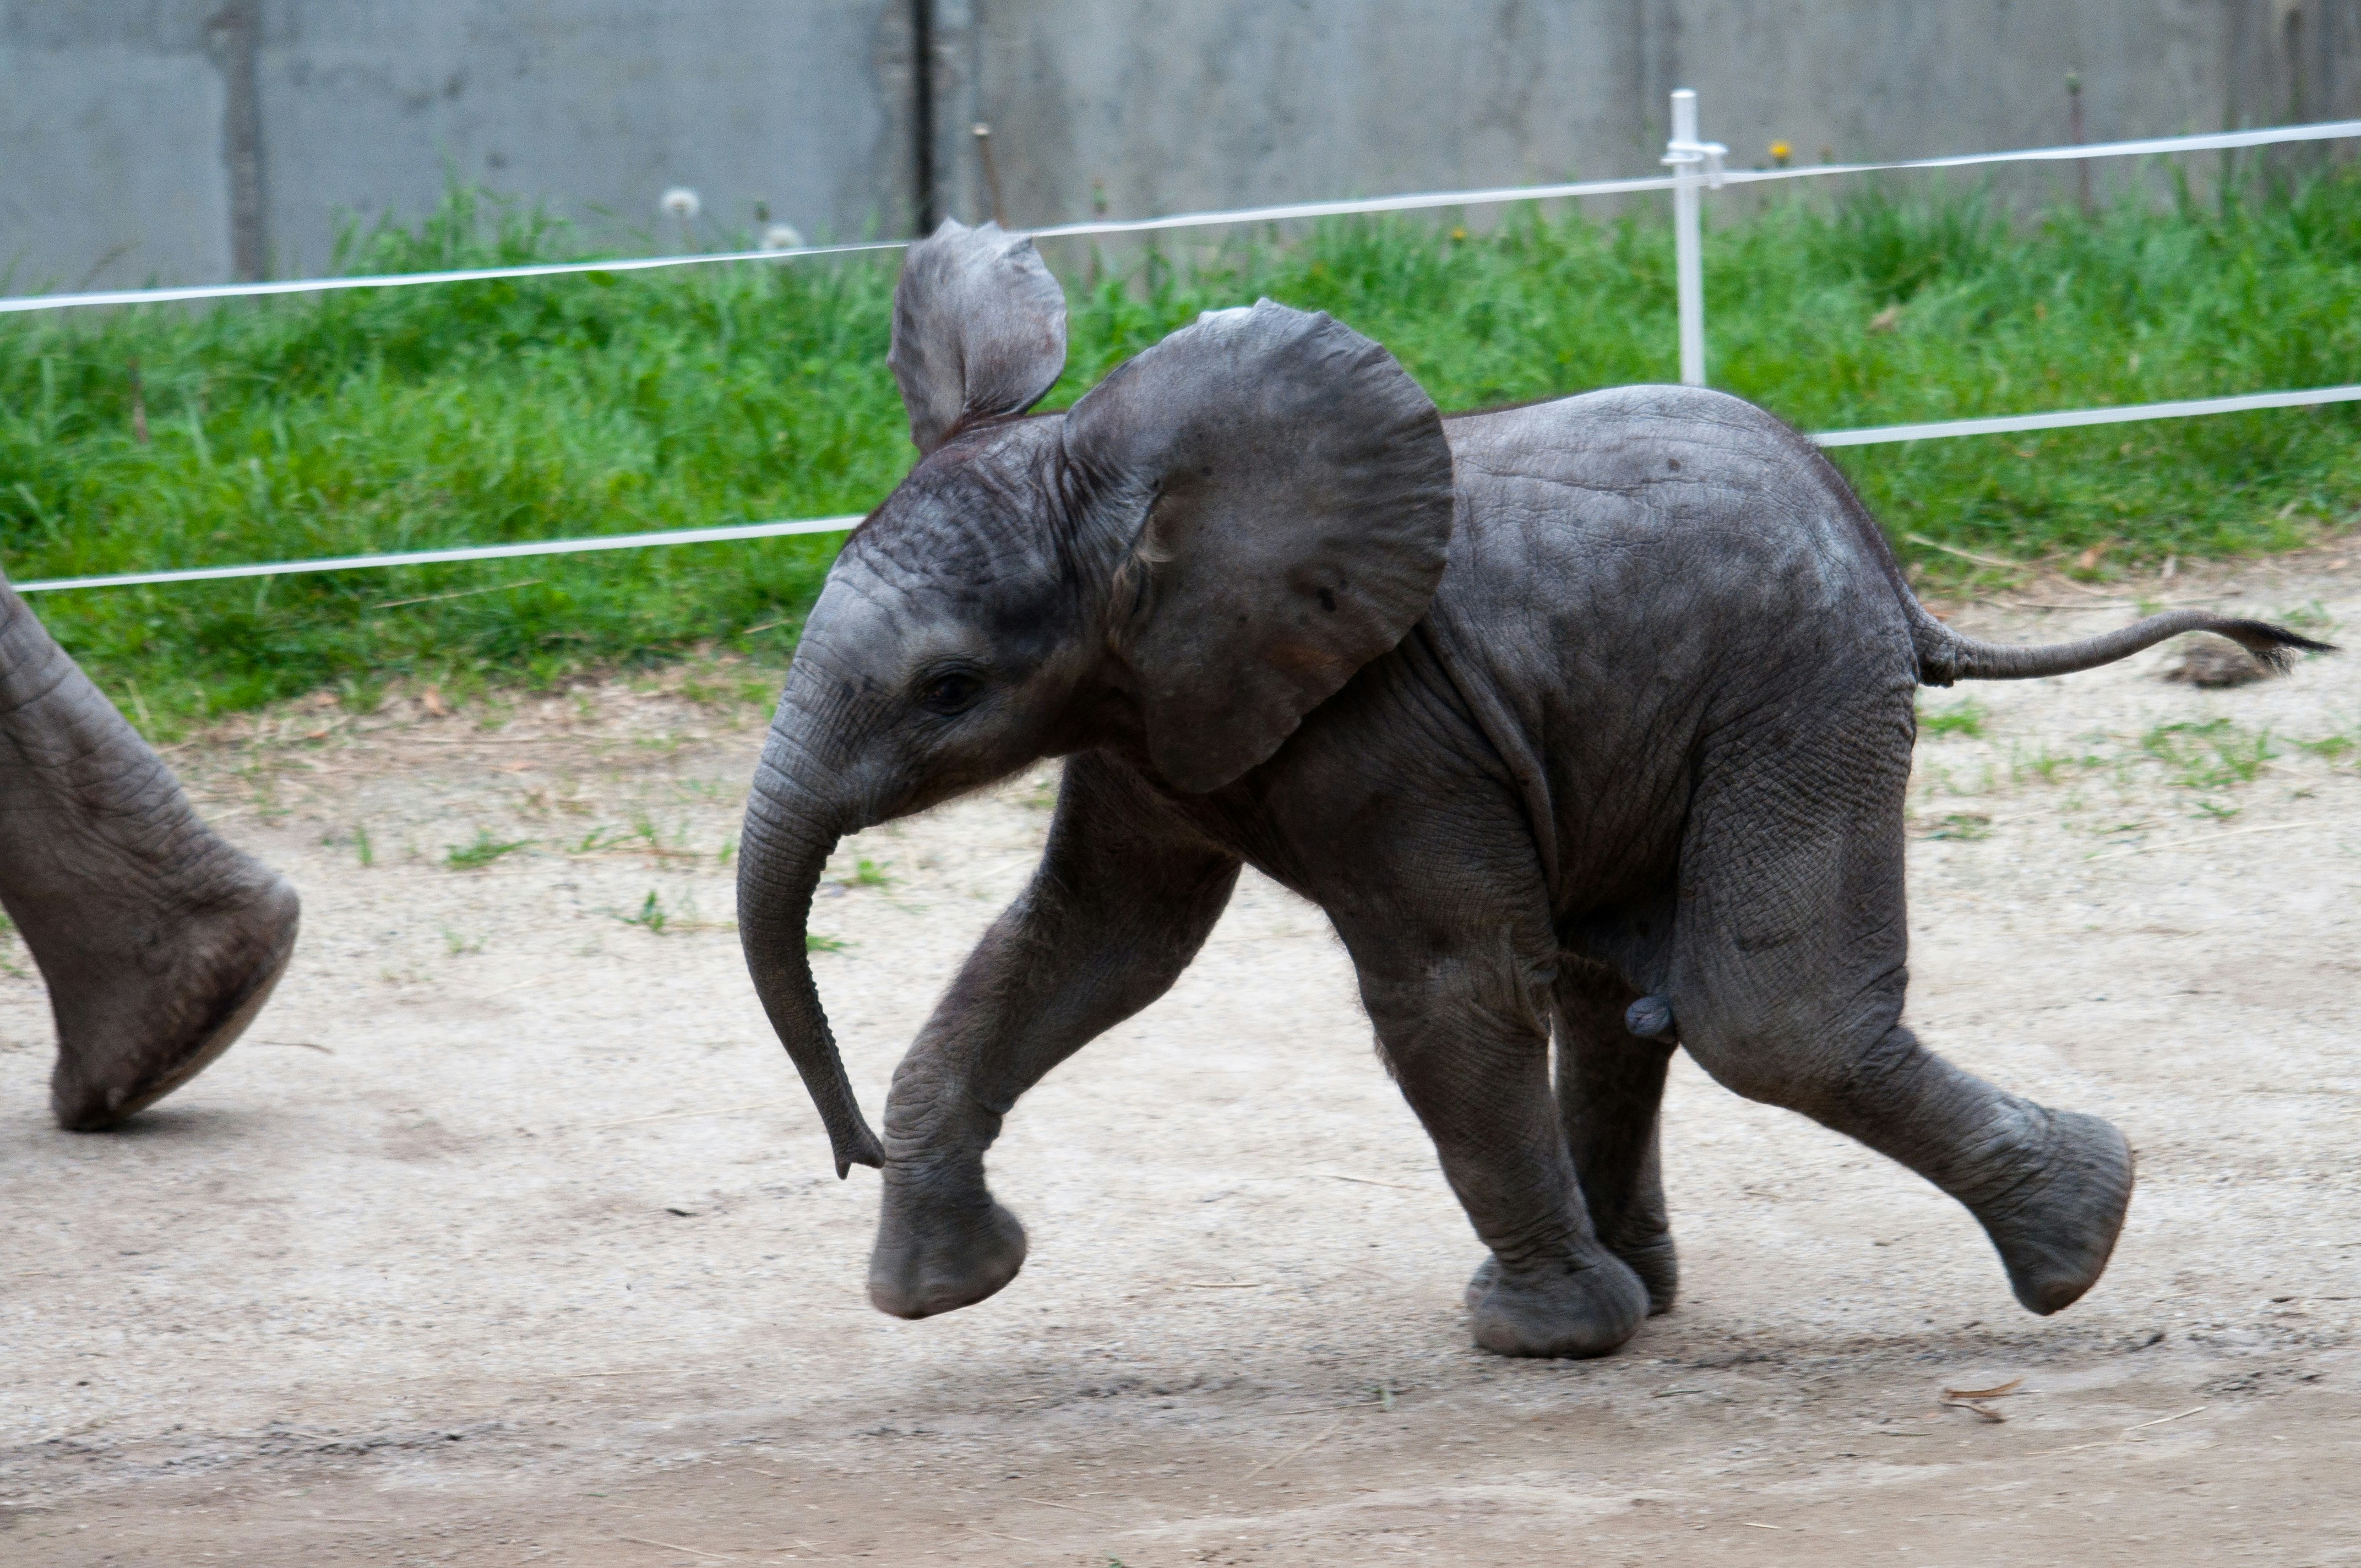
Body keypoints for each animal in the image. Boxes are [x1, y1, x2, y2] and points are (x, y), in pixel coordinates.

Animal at [736, 219, 2326, 1359]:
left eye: (946, 689)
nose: (847, 1149)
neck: (1129, 503)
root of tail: (1888, 564)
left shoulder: (1380, 721)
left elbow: (1445, 986)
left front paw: (1537, 1339)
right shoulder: (1154, 708)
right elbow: (1087, 945)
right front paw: (938, 1293)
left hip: (1798, 688)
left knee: (1769, 1017)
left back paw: (2078, 1239)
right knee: (1625, 993)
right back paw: (1668, 1285)